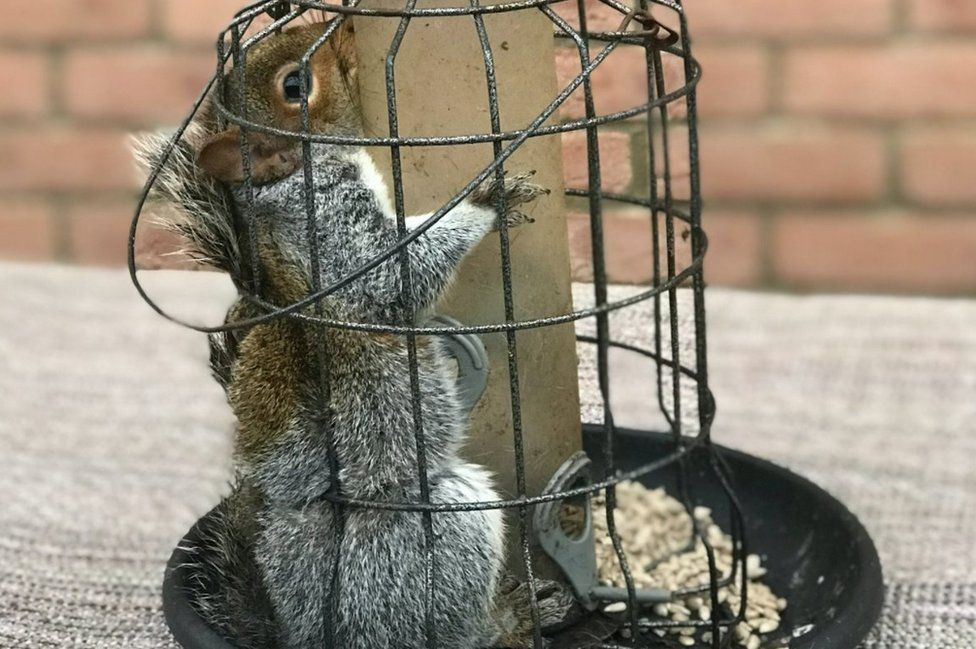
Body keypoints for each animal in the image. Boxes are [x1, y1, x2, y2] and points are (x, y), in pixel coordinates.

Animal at [132, 15, 572, 648]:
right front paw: (486, 198)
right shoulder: (336, 237)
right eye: (294, 87)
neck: (288, 181)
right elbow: (399, 271)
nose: (339, 25)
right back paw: (512, 618)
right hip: (429, 540)